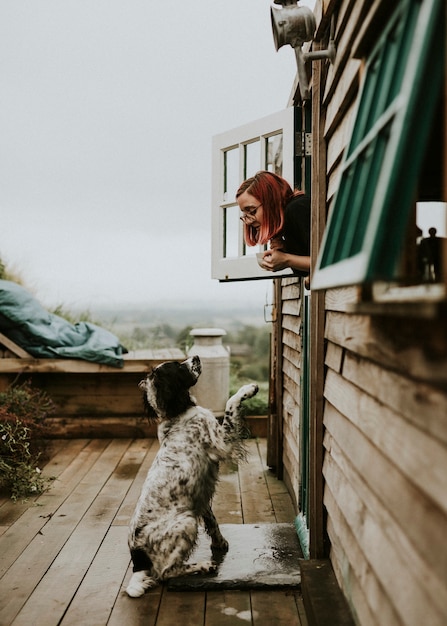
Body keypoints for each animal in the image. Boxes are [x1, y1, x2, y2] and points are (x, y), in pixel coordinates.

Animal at [126, 352, 260, 596]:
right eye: (178, 366)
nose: (196, 356)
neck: (177, 414)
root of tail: (137, 556)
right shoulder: (222, 441)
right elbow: (230, 404)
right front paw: (248, 389)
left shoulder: (201, 494)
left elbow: (212, 521)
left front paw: (220, 543)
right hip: (186, 522)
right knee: (166, 572)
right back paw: (204, 566)